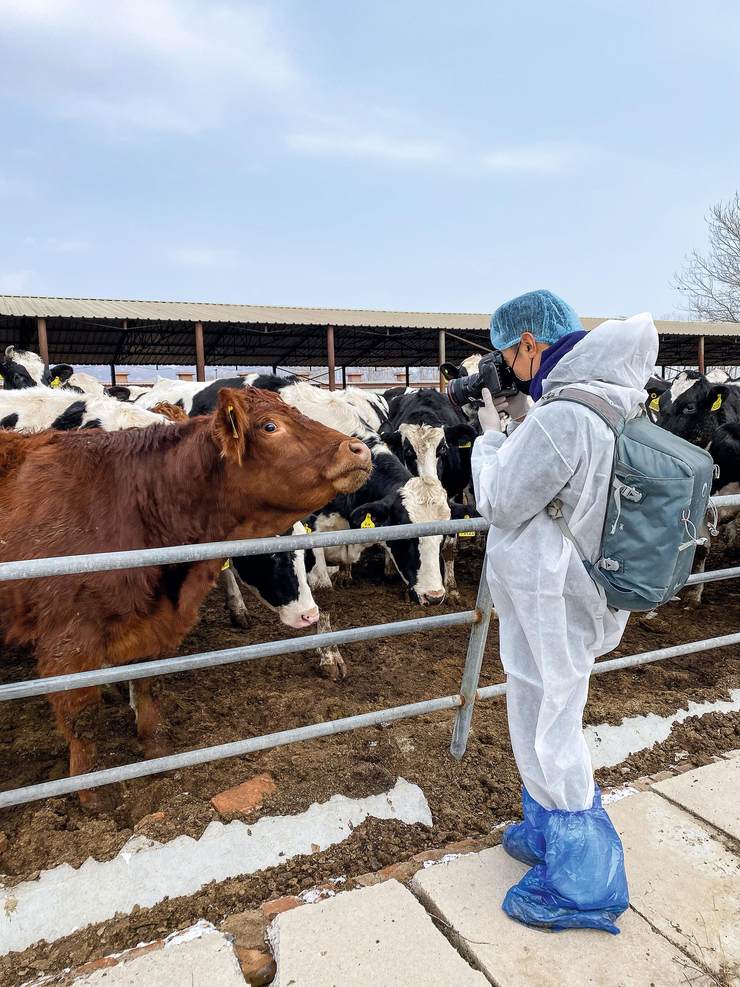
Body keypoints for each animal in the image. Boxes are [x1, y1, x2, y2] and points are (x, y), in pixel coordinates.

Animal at [0, 382, 370, 808]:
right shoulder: (68, 640)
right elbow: (83, 717)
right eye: (270, 426)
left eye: (306, 554)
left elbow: (147, 682)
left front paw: (155, 749)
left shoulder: (149, 622)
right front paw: (92, 793)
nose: (359, 449)